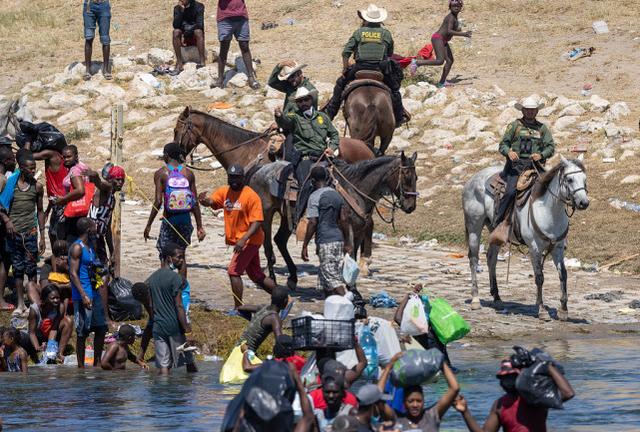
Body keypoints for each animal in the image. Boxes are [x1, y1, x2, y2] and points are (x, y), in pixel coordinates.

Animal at [175, 107, 376, 290]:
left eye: (177, 129)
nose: (175, 154)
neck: (246, 152)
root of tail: (367, 148)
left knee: (367, 223)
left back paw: (364, 262)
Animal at [460, 157, 592, 318]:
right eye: (569, 179)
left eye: (584, 179)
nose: (584, 203)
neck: (549, 211)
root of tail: (472, 179)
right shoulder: (534, 248)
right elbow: (539, 277)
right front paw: (541, 309)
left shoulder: (558, 247)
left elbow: (563, 274)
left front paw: (563, 310)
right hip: (474, 226)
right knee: (473, 259)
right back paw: (475, 299)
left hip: (494, 231)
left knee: (491, 258)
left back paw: (497, 297)